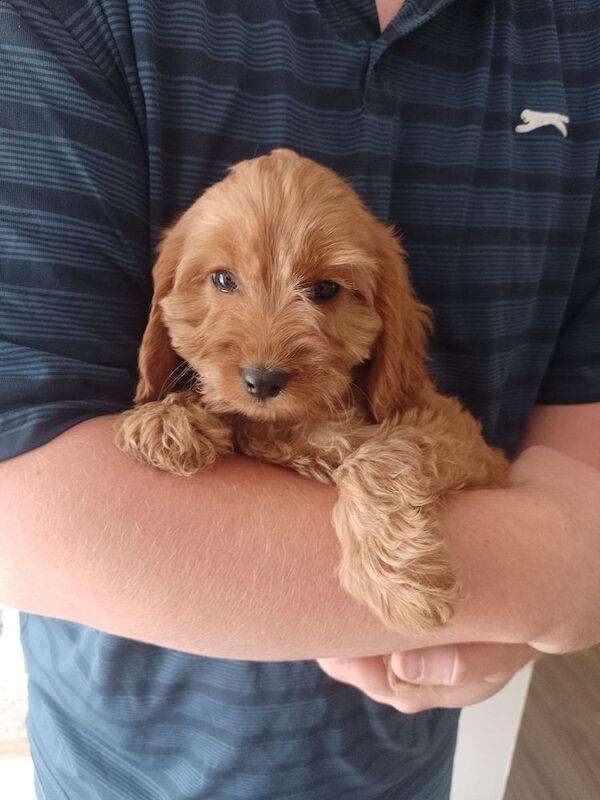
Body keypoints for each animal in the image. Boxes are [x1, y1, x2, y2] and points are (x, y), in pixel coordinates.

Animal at [118, 147, 510, 652]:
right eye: (223, 280)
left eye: (325, 289)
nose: (262, 381)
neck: (302, 419)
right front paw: (167, 419)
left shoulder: (464, 441)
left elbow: (378, 456)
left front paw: (402, 583)